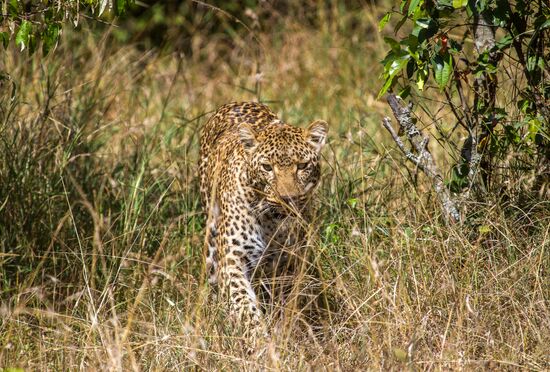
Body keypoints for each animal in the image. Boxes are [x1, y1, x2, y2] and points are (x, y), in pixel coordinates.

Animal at [198, 101, 328, 334]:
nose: (288, 198)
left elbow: (287, 302)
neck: (272, 221)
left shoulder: (290, 263)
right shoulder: (233, 261)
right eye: (267, 167)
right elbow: (244, 305)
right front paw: (258, 339)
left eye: (302, 166)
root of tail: (237, 102)